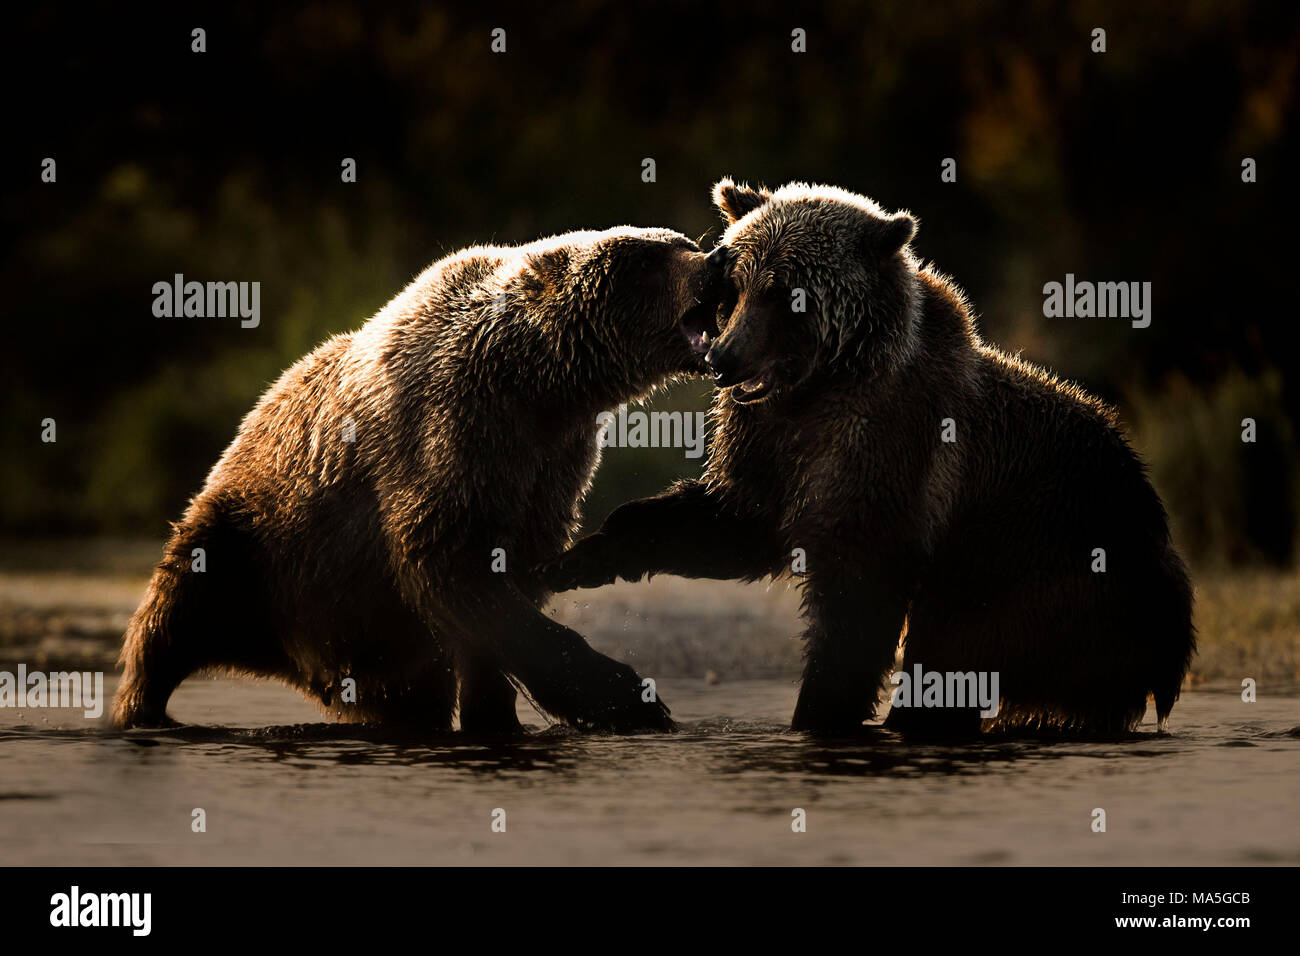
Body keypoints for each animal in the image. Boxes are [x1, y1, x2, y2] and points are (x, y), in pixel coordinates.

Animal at [111, 227, 722, 738]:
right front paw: (628, 698)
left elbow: (506, 586)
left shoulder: (550, 467)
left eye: (683, 241)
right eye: (644, 258)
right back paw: (140, 708)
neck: (539, 388)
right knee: (172, 615)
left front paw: (497, 714)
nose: (712, 261)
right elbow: (449, 561)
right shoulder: (449, 429)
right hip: (256, 542)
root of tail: (304, 662)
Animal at [540, 179, 1196, 738]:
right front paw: (585, 557)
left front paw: (818, 713)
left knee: (952, 655)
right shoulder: (771, 447)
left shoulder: (889, 451)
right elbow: (737, 522)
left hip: (1037, 568)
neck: (815, 390)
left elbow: (855, 593)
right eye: (735, 286)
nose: (724, 358)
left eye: (787, 292)